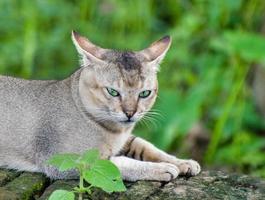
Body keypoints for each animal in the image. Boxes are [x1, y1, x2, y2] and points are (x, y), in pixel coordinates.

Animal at [0, 30, 199, 181]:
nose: (130, 113)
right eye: (113, 92)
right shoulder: (64, 160)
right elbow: (118, 163)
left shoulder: (125, 139)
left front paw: (181, 162)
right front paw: (161, 168)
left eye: (144, 93)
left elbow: (147, 146)